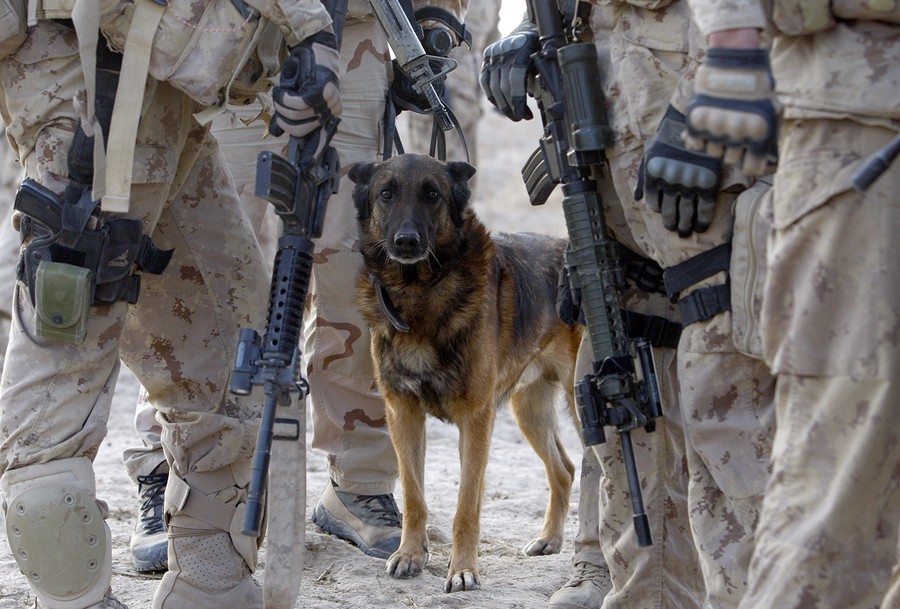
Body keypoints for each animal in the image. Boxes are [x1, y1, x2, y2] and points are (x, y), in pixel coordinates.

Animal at [344, 154, 584, 592]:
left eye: (432, 194)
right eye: (386, 194)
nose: (406, 242)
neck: (419, 290)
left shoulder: (475, 420)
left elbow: (466, 505)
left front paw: (463, 569)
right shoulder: (403, 414)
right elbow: (414, 496)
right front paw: (410, 554)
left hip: (581, 403)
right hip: (529, 411)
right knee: (564, 470)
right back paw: (550, 538)